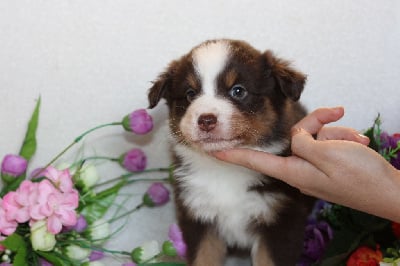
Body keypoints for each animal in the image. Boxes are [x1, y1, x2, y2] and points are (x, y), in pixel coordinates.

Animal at [148, 39, 314, 266]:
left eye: (238, 91)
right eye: (190, 94)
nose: (206, 120)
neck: (225, 170)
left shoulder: (281, 221)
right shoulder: (199, 217)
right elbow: (203, 258)